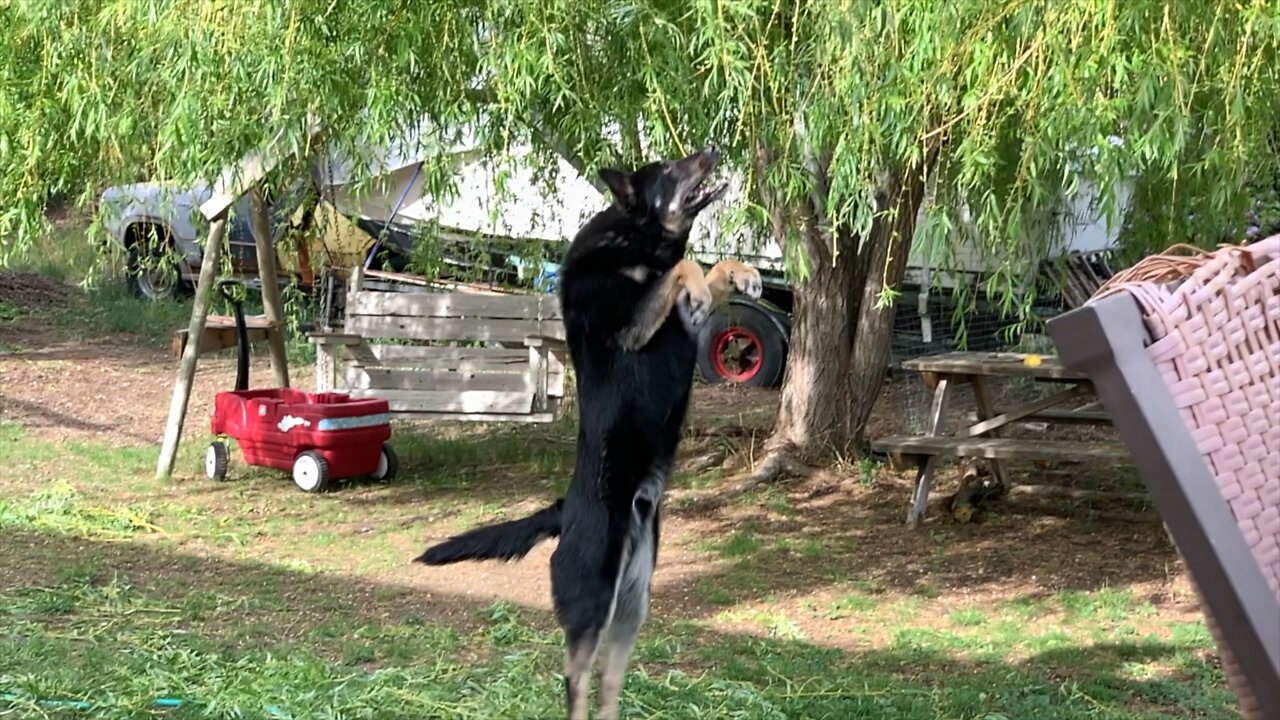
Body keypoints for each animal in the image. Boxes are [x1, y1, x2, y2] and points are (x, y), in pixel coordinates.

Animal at [417, 147, 757, 717]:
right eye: (670, 169)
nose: (712, 152)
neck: (633, 240)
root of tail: (562, 510)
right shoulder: (636, 324)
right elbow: (684, 268)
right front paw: (701, 271)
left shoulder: (688, 316)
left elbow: (707, 270)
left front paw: (745, 272)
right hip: (594, 601)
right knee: (575, 683)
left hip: (632, 606)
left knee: (607, 685)